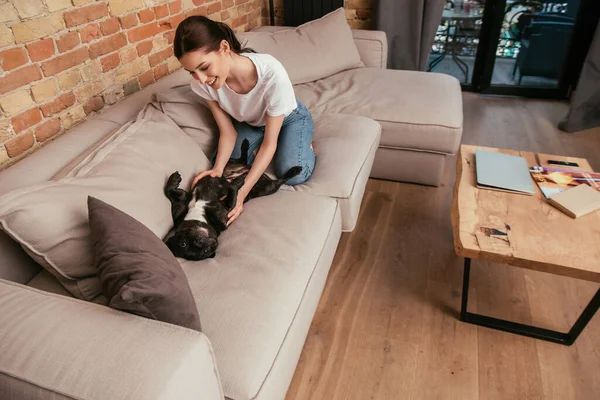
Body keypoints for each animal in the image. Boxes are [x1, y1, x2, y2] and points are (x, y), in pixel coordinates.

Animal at [164, 139, 302, 260]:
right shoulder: (226, 212)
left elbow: (169, 191)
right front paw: (237, 182)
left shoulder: (182, 203)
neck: (199, 217)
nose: (210, 245)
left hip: (231, 163)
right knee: (279, 180)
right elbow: (230, 197)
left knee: (244, 160)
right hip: (268, 187)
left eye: (183, 243)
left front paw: (173, 179)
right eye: (205, 252)